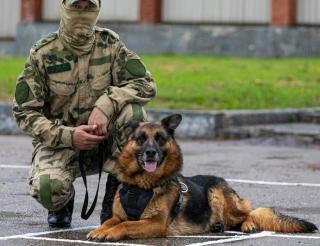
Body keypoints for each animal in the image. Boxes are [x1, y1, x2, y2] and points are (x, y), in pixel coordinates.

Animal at [87, 114, 318, 241]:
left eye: (160, 139)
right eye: (141, 139)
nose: (151, 153)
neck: (141, 185)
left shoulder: (156, 224)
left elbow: (125, 225)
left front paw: (110, 233)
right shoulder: (119, 215)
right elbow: (110, 222)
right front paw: (100, 231)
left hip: (217, 194)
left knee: (250, 213)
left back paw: (247, 225)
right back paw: (217, 226)